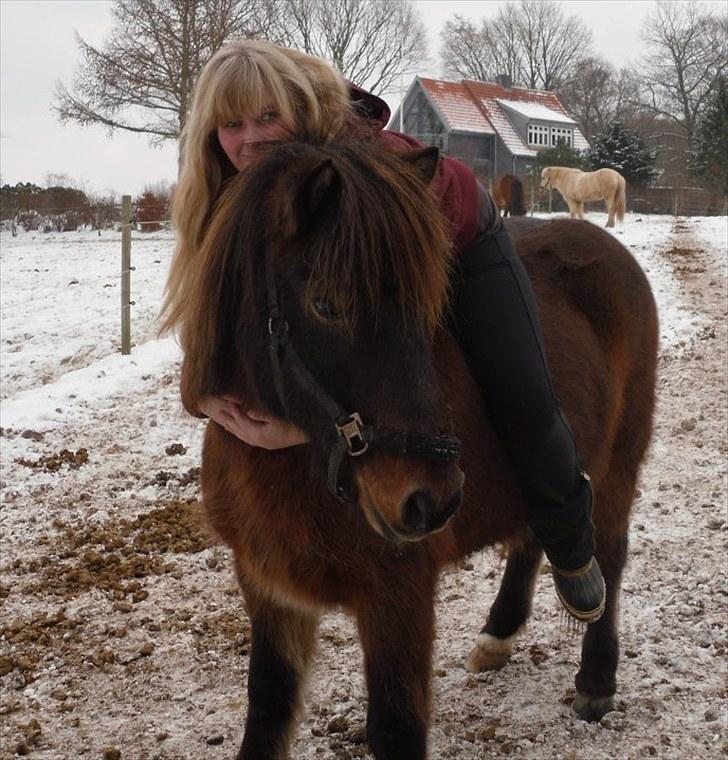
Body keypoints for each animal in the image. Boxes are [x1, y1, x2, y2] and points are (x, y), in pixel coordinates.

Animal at [182, 140, 660, 756]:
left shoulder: (398, 597)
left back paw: (596, 680)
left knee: (609, 549)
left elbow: (396, 727)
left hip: (618, 464)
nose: (431, 501)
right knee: (531, 530)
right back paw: (498, 634)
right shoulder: (269, 589)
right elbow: (267, 705)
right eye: (326, 304)